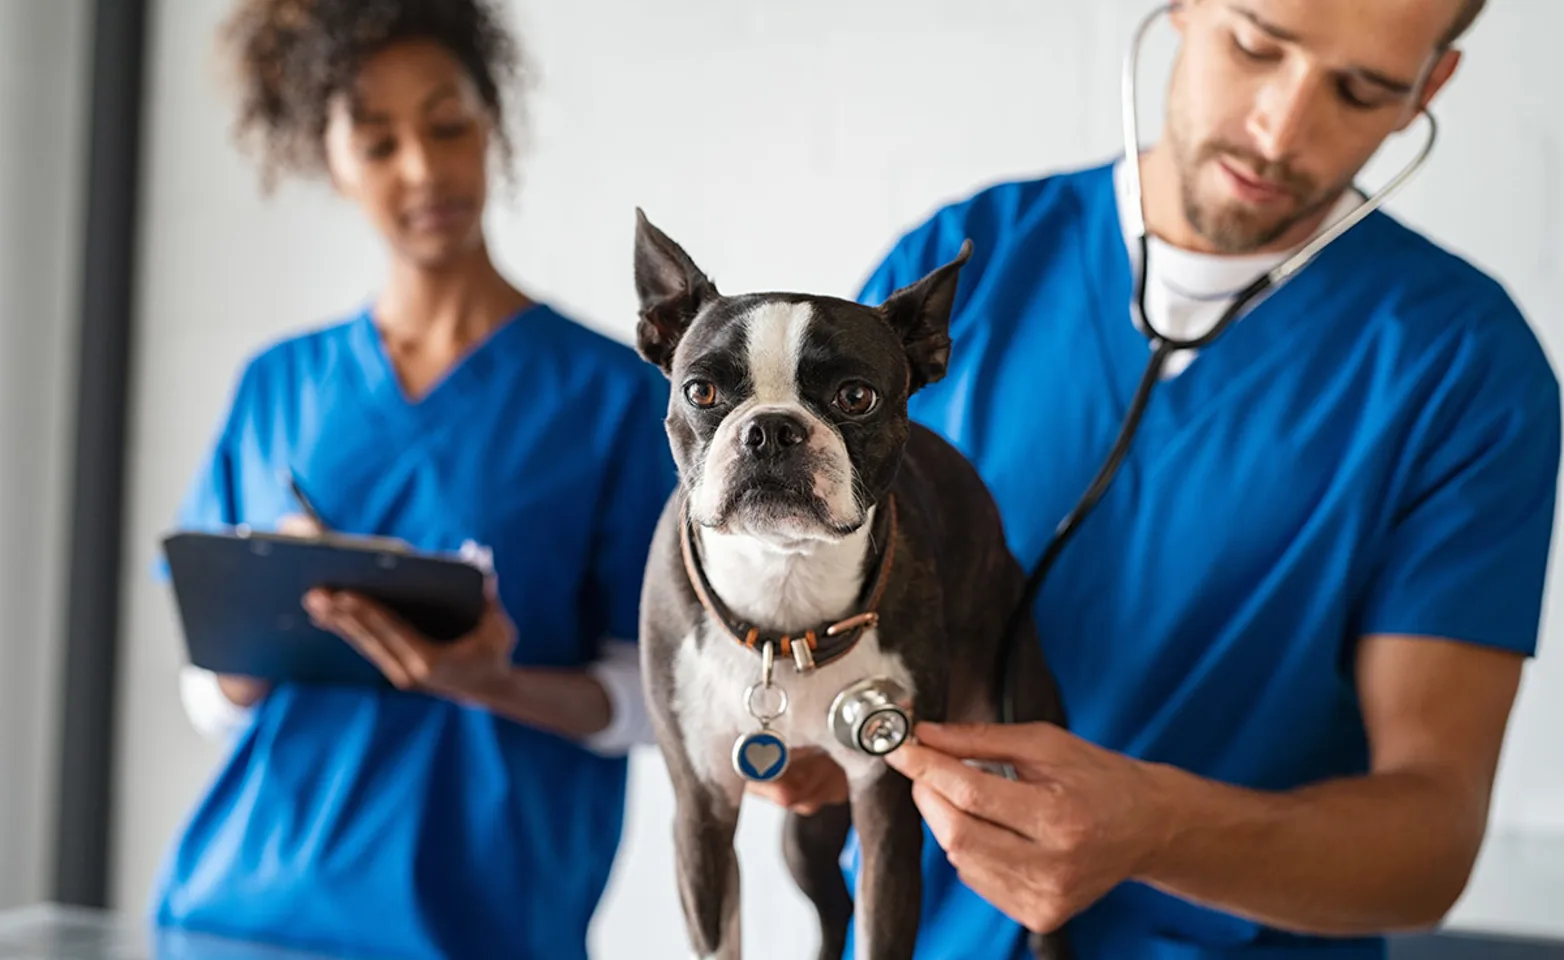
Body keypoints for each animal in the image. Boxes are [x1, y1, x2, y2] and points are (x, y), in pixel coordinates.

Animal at [628, 212, 1069, 960]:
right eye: (700, 392)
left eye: (855, 397)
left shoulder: (887, 805)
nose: (771, 429)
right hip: (805, 832)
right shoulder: (702, 810)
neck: (785, 597)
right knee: (831, 907)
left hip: (1015, 730)